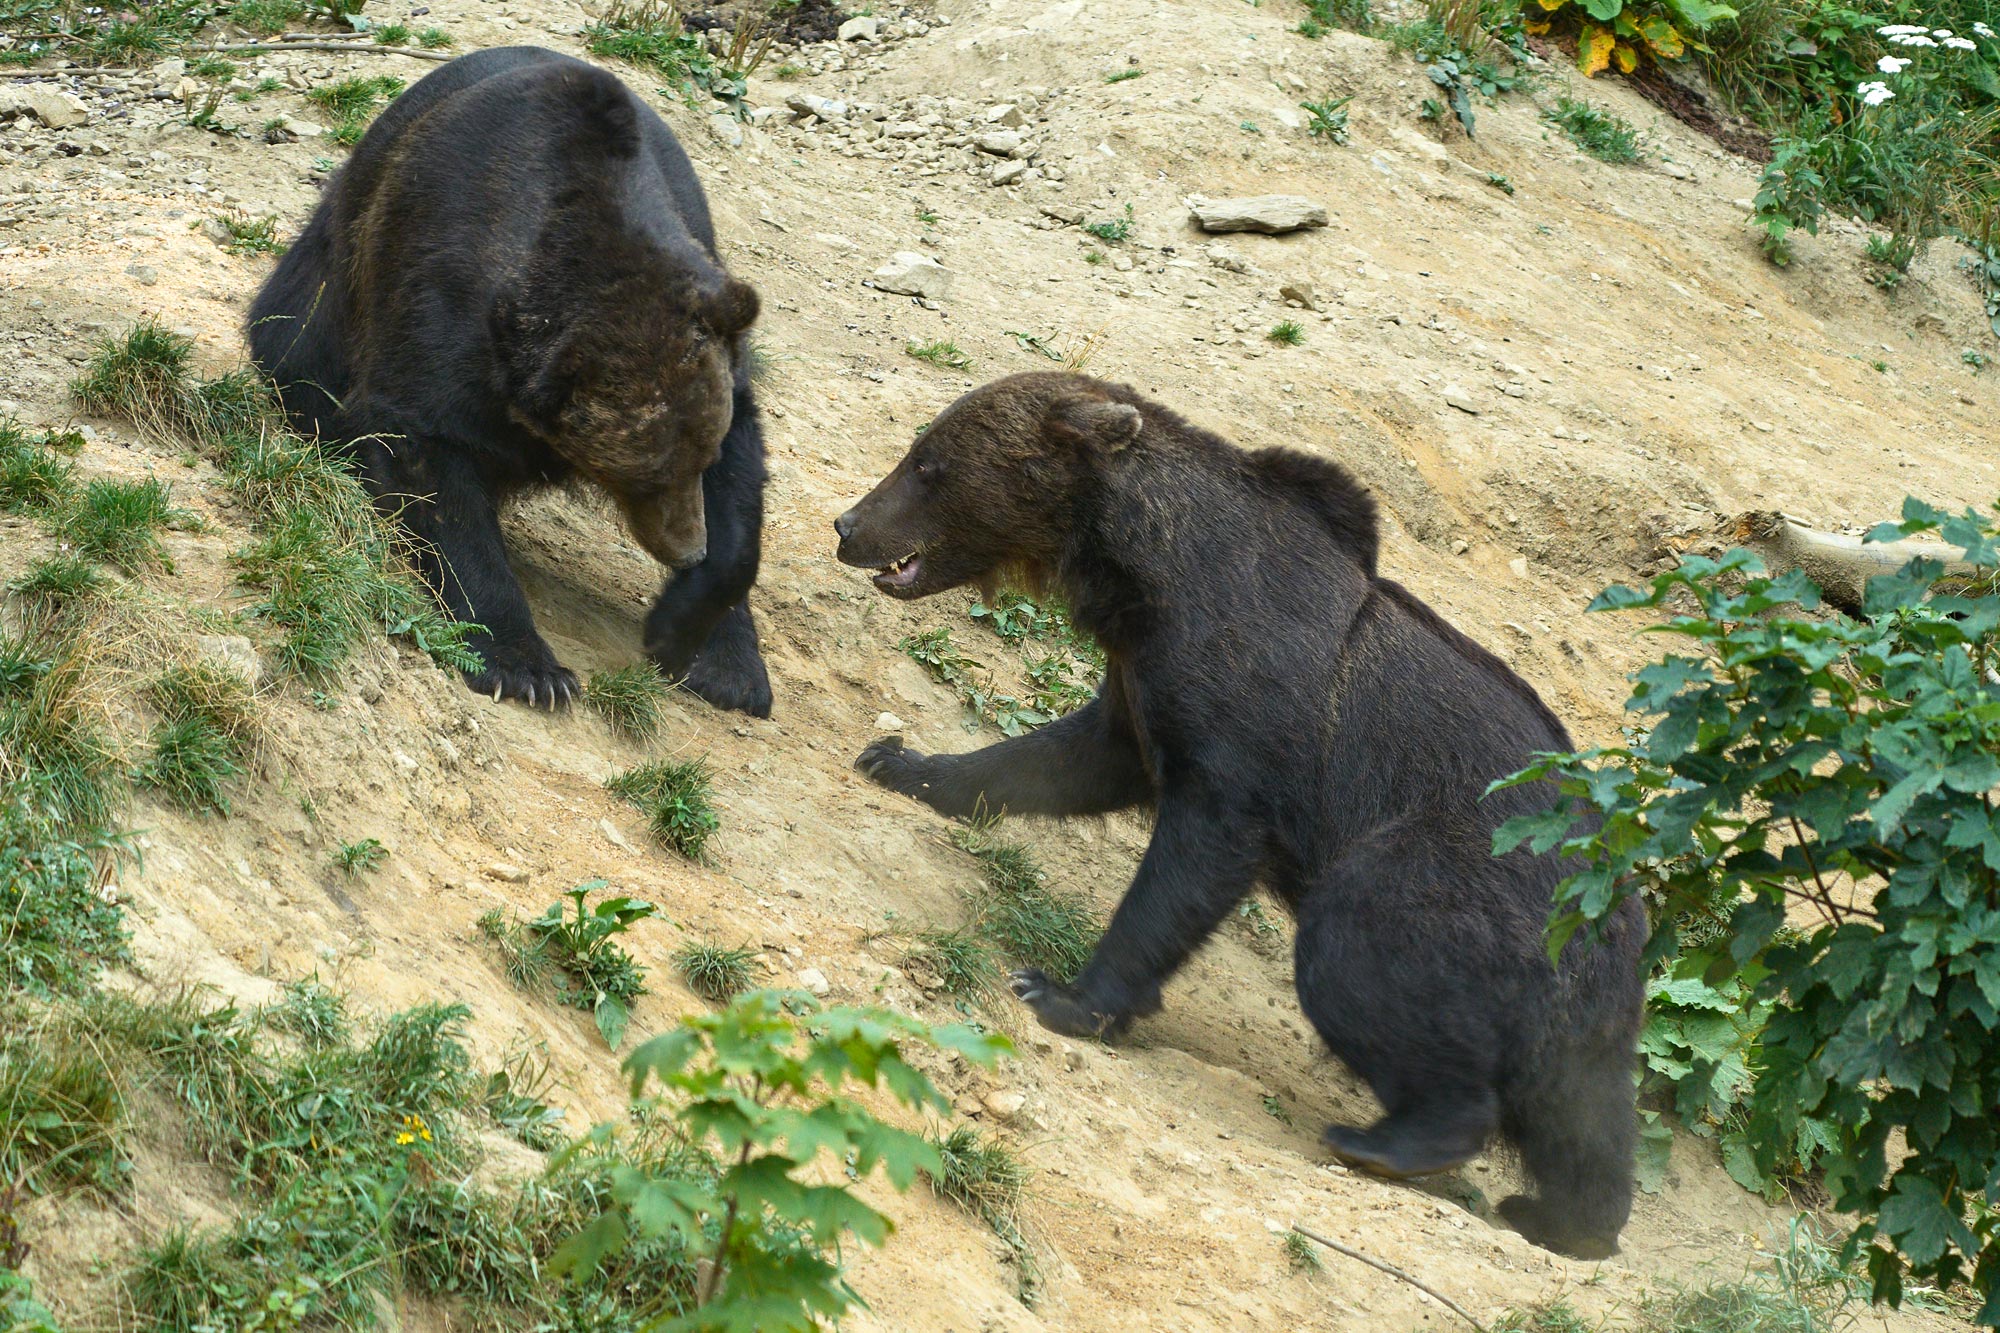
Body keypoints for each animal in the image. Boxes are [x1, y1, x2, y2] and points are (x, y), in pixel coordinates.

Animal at [248, 46, 772, 716]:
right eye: (644, 477)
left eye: (697, 460)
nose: (687, 548)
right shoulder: (441, 316)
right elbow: (431, 467)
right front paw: (527, 667)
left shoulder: (711, 332)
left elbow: (742, 485)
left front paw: (689, 640)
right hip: (354, 235)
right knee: (298, 335)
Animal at [836, 370, 1648, 1256]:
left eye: (928, 464)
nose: (848, 524)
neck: (1146, 576)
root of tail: (1616, 903)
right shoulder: (1143, 686)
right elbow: (1059, 758)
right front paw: (902, 762)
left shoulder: (1248, 731)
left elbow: (1189, 865)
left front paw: (1063, 991)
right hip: (1577, 995)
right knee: (1585, 1113)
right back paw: (1565, 1217)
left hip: (1453, 873)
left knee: (1362, 955)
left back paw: (1390, 1139)